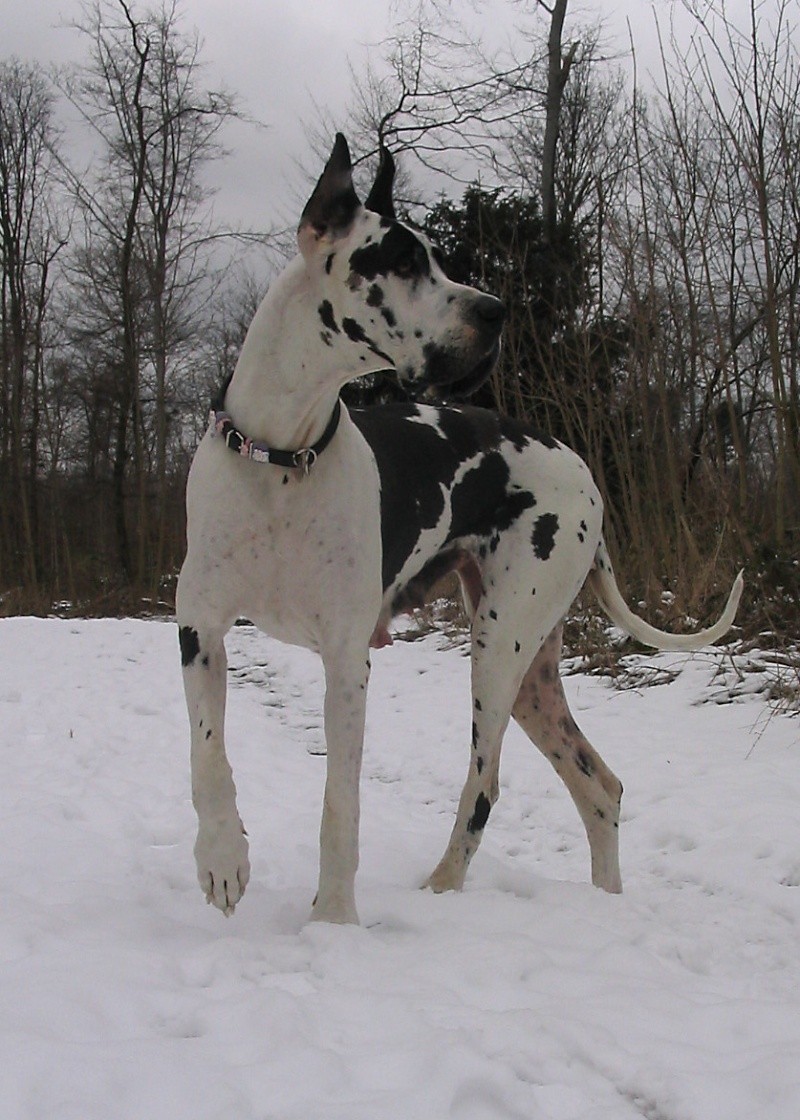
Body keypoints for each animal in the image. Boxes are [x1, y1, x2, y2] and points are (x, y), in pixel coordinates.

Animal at [175, 135, 739, 922]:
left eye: (439, 260)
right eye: (404, 261)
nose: (495, 311)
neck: (286, 458)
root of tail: (583, 469)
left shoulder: (346, 660)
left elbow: (340, 805)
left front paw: (333, 920)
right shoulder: (198, 627)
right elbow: (207, 755)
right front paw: (222, 858)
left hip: (499, 645)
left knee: (484, 785)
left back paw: (443, 886)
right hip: (533, 675)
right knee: (599, 785)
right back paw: (603, 902)